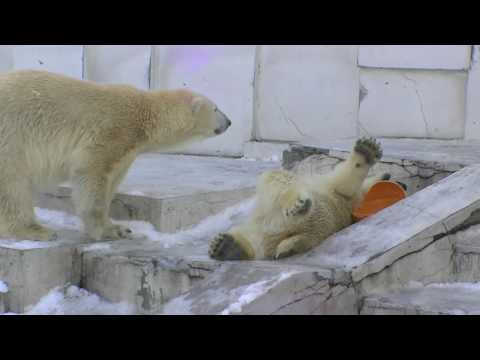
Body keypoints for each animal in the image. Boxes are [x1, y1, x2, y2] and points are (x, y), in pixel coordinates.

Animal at [0, 69, 231, 242]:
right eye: (216, 108)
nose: (229, 122)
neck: (143, 113)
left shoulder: (128, 151)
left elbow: (112, 179)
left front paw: (118, 227)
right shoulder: (113, 131)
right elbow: (91, 172)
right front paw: (108, 231)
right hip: (12, 135)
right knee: (13, 184)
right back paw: (33, 229)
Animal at [208, 136, 388, 260]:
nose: (387, 175)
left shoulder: (335, 191)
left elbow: (344, 183)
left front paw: (366, 150)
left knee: (276, 178)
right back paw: (227, 247)